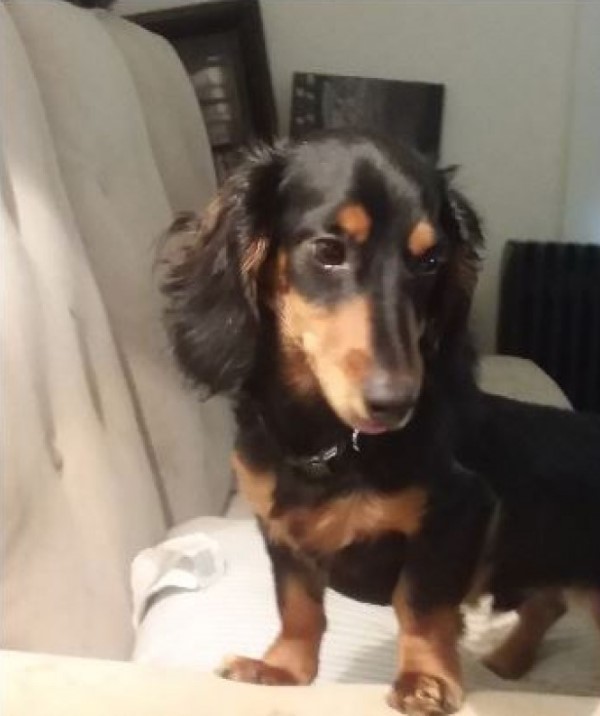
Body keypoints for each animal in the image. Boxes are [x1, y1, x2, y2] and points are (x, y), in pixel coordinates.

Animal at [159, 131, 600, 712]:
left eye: (431, 259)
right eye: (328, 251)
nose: (395, 403)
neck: (330, 447)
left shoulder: (457, 512)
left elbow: (420, 603)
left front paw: (424, 679)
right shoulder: (279, 529)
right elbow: (297, 605)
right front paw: (282, 670)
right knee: (548, 603)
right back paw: (509, 659)